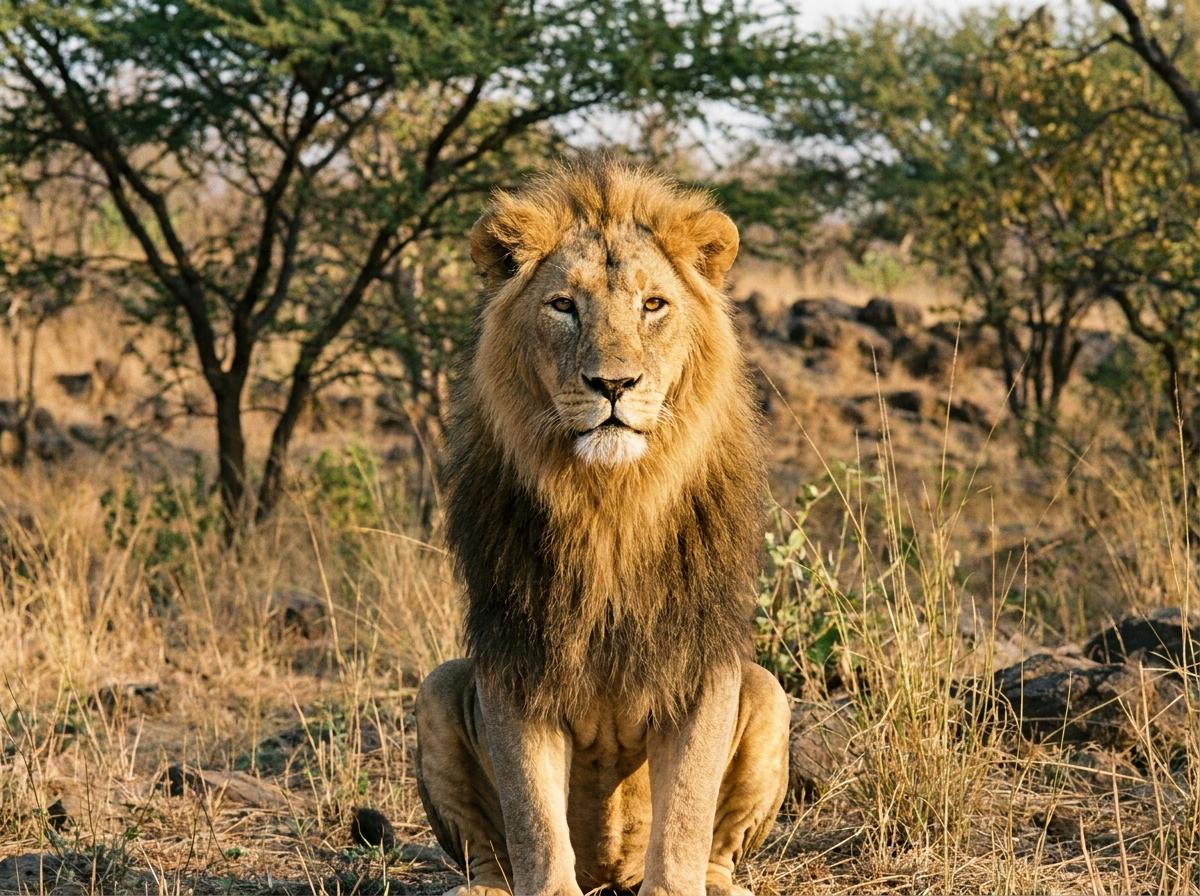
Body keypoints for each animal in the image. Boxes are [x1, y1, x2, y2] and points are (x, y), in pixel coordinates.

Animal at [415, 160, 790, 896]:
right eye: (564, 305)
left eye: (653, 306)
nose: (613, 385)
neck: (611, 502)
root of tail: (611, 874)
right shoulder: (516, 656)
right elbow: (533, 820)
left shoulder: (700, 661)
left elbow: (686, 817)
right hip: (438, 689)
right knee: (487, 849)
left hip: (767, 692)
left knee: (717, 845)